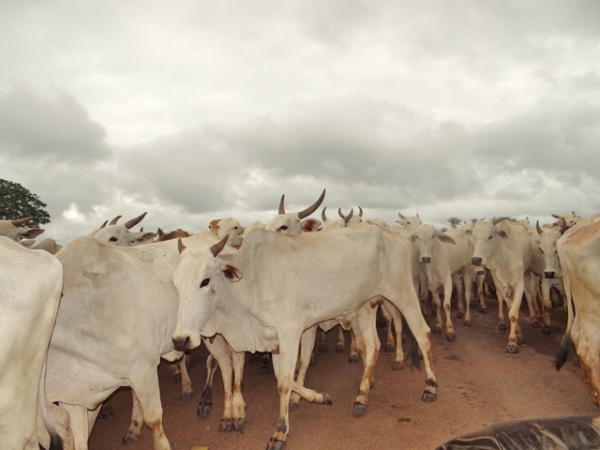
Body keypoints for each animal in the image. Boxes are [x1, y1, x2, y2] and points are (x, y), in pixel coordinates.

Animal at [172, 227, 436, 450]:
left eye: (205, 281)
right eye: (175, 284)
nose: (180, 340)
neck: (251, 282)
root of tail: (395, 234)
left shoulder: (289, 332)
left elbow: (284, 381)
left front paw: (279, 432)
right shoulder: (274, 340)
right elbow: (285, 377)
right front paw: (318, 397)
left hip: (403, 294)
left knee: (422, 334)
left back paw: (430, 386)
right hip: (365, 307)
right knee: (372, 346)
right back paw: (361, 397)